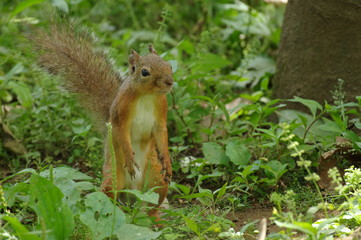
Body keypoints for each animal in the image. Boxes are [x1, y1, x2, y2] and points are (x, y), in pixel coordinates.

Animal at [31, 21, 172, 223]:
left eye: (169, 65)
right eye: (145, 72)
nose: (169, 82)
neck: (147, 96)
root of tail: (133, 191)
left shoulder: (161, 110)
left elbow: (161, 132)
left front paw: (167, 161)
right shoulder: (120, 114)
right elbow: (122, 133)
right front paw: (130, 158)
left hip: (156, 179)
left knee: (153, 204)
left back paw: (156, 220)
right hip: (113, 178)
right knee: (107, 198)